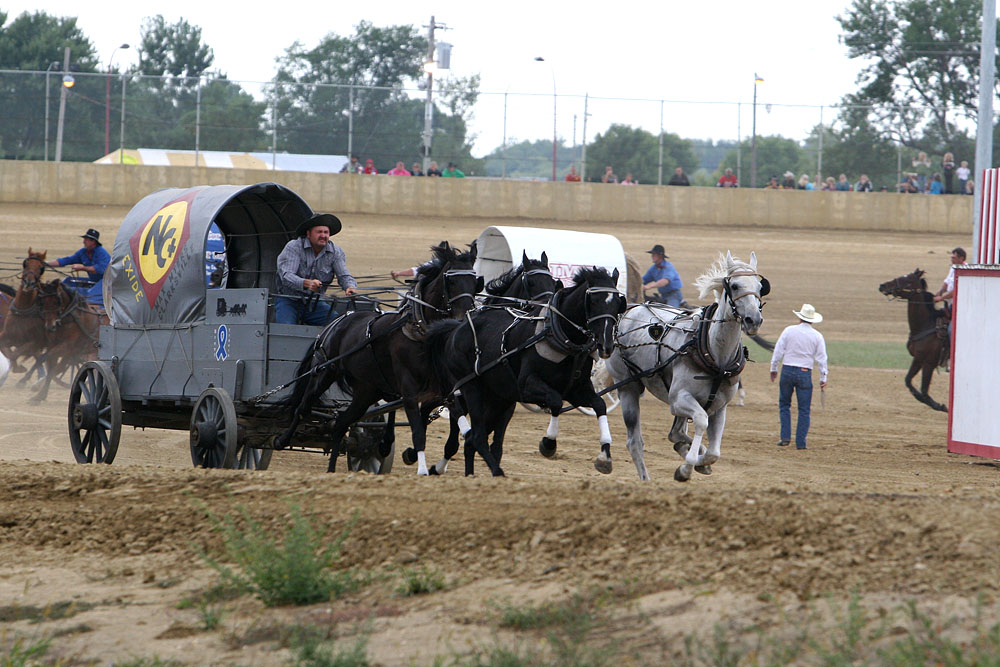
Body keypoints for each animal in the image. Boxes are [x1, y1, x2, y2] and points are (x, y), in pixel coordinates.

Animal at [278, 243, 484, 472]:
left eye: (475, 282)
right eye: (451, 280)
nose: (463, 317)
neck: (422, 332)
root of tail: (338, 321)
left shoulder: (444, 389)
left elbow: (453, 419)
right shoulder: (409, 390)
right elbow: (418, 432)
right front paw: (421, 466)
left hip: (366, 392)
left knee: (340, 424)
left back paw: (333, 470)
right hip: (324, 373)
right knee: (302, 408)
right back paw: (281, 440)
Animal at [430, 264, 624, 478]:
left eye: (618, 302)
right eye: (594, 301)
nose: (606, 345)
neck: (557, 333)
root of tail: (457, 328)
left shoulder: (576, 389)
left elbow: (599, 405)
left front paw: (604, 456)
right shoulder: (527, 386)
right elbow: (556, 401)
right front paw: (548, 443)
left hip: (499, 397)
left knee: (474, 440)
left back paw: (471, 474)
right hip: (472, 388)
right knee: (476, 435)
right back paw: (495, 472)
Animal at [604, 250, 768, 480]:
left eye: (760, 286)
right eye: (735, 285)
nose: (753, 320)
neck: (716, 358)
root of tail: (629, 310)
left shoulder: (719, 407)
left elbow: (713, 452)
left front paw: (699, 462)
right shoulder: (679, 399)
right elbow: (700, 421)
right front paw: (686, 467)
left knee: (676, 433)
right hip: (628, 388)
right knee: (635, 442)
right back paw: (644, 479)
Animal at [880, 268, 948, 410]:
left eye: (906, 280)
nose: (882, 285)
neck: (926, 325)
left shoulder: (929, 363)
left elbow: (924, 391)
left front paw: (940, 406)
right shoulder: (918, 359)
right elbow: (908, 381)